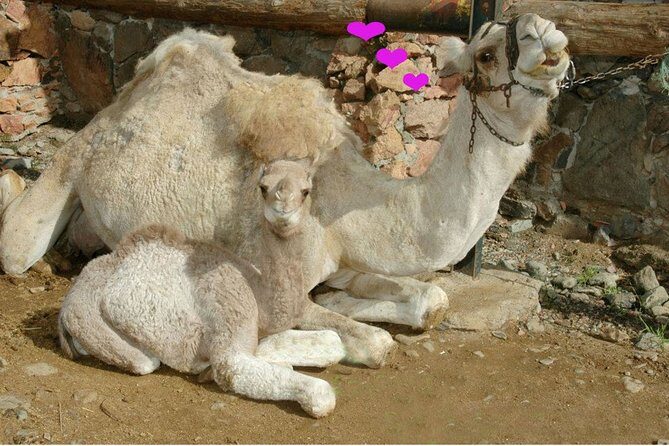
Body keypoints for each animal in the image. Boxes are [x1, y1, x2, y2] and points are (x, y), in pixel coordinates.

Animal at [2, 16, 569, 367]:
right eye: (488, 53)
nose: (549, 40)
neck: (343, 198)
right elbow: (376, 342)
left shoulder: (345, 256)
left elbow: (432, 299)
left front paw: (348, 301)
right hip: (72, 164)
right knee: (16, 245)